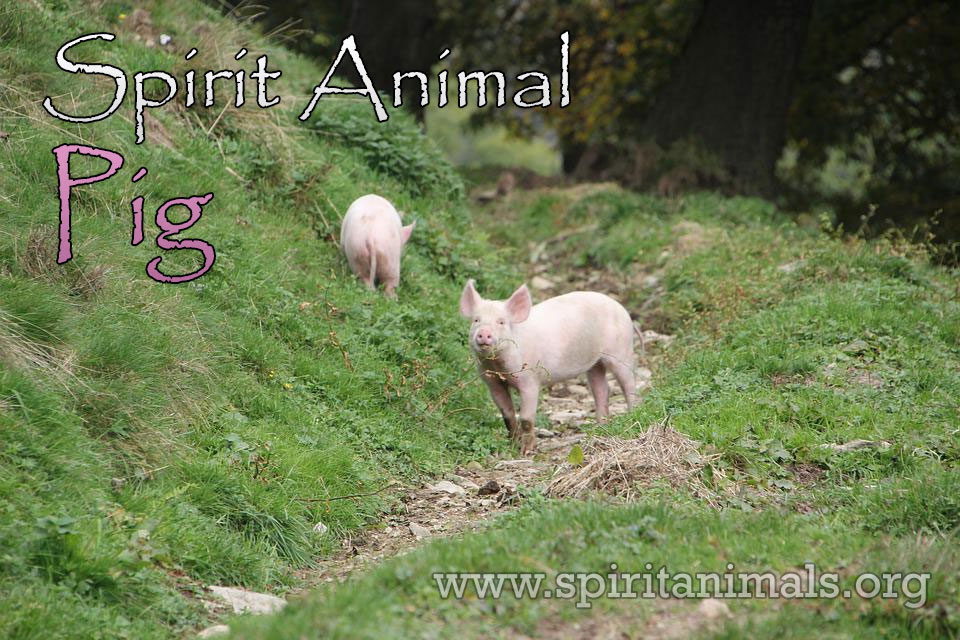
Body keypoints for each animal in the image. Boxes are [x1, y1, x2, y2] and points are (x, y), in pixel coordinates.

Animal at [460, 279, 638, 455]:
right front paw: (511, 447)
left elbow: (526, 418)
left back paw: (633, 413)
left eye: (501, 322)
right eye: (476, 320)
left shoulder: (530, 380)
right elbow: (507, 415)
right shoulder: (492, 382)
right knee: (602, 388)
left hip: (621, 350)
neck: (498, 365)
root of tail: (620, 307)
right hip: (595, 364)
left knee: (629, 384)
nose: (484, 333)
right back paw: (600, 428)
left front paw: (526, 452)